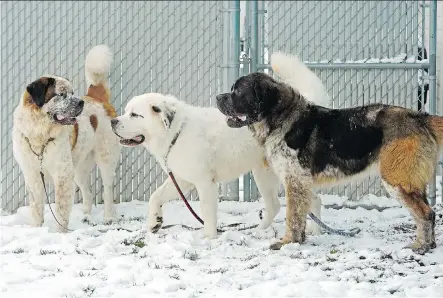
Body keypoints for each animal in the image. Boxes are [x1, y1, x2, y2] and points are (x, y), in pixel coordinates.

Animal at [13, 44, 120, 230]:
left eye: (72, 92)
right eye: (61, 94)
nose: (80, 103)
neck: (40, 134)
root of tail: (96, 97)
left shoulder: (62, 174)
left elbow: (61, 208)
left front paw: (60, 232)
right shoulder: (33, 175)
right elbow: (36, 208)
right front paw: (37, 229)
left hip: (105, 159)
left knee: (107, 189)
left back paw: (108, 218)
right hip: (77, 168)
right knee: (88, 193)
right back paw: (86, 216)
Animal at [111, 51, 330, 237]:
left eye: (135, 115)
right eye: (126, 111)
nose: (113, 121)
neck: (176, 132)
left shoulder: (204, 182)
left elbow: (207, 215)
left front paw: (209, 240)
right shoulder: (182, 179)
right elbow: (155, 196)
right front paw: (154, 222)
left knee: (311, 200)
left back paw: (315, 231)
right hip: (265, 174)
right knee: (278, 205)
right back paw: (259, 231)